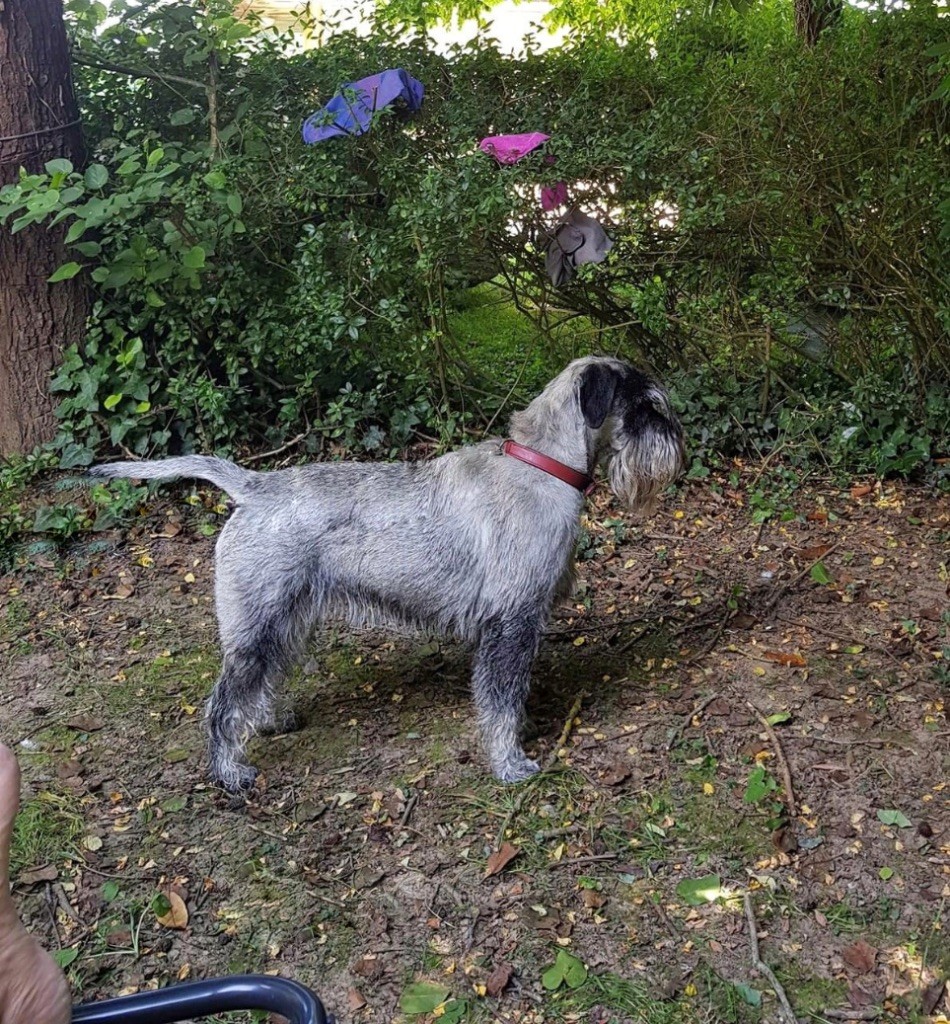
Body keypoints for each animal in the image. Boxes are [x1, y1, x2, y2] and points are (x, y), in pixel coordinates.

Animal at [89, 356, 683, 794]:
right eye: (643, 405)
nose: (677, 443)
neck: (542, 465)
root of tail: (255, 488)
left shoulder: (518, 625)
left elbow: (510, 691)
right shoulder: (510, 622)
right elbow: (500, 696)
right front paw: (510, 762)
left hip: (287, 618)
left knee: (259, 681)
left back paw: (270, 722)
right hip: (256, 621)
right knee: (222, 702)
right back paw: (230, 772)